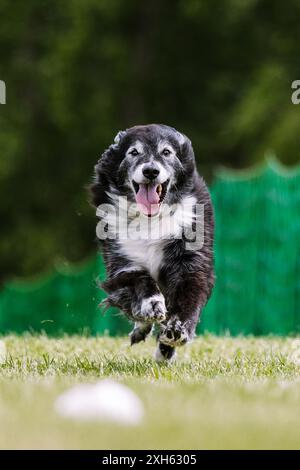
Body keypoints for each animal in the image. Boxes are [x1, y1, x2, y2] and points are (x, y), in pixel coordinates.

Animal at [90, 124, 214, 360]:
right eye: (133, 152)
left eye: (166, 152)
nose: (150, 171)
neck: (150, 218)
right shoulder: (122, 263)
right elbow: (140, 279)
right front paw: (152, 304)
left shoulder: (191, 263)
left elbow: (189, 298)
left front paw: (177, 331)